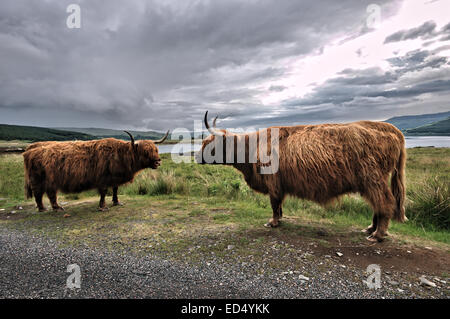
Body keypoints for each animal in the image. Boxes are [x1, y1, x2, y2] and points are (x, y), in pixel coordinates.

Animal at [22, 131, 169, 214]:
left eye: (156, 149)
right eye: (145, 151)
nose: (158, 161)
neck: (121, 154)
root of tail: (30, 148)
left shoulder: (114, 178)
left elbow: (115, 190)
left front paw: (116, 202)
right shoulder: (103, 178)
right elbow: (103, 192)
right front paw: (102, 207)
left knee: (49, 194)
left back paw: (53, 207)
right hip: (39, 179)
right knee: (40, 194)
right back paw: (46, 208)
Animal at [195, 112, 406, 242]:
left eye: (209, 143)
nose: (196, 156)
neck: (251, 149)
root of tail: (392, 129)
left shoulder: (273, 182)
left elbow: (274, 203)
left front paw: (272, 222)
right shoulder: (279, 184)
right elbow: (279, 204)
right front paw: (279, 219)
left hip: (373, 178)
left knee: (385, 202)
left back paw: (378, 234)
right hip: (371, 182)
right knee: (377, 205)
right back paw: (370, 228)